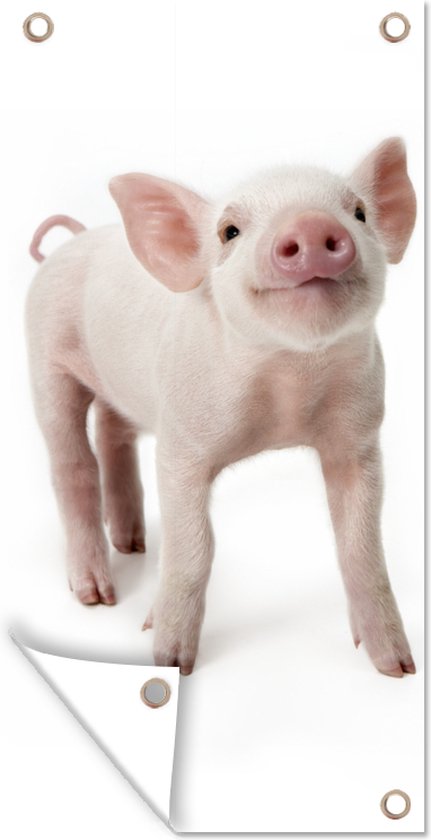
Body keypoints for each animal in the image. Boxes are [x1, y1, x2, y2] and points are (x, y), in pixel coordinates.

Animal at [26, 137, 417, 677]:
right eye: (229, 231)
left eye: (358, 212)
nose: (310, 225)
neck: (289, 383)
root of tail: (75, 239)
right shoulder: (181, 445)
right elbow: (194, 548)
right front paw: (169, 662)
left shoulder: (358, 440)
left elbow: (360, 546)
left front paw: (397, 668)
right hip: (45, 360)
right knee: (71, 467)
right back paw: (96, 597)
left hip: (117, 388)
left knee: (112, 434)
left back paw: (133, 543)